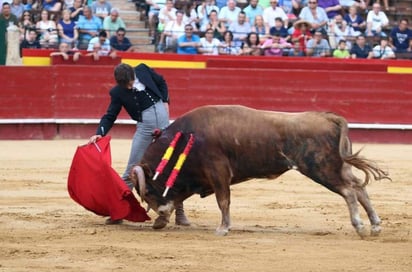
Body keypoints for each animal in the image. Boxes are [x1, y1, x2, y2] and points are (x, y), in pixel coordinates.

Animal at [131, 105, 390, 237]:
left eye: (147, 192)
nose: (157, 214)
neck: (187, 136)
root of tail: (328, 117)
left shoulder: (217, 172)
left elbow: (223, 201)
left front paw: (223, 228)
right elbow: (181, 197)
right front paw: (161, 221)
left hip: (321, 168)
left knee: (349, 192)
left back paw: (360, 227)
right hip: (339, 167)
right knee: (359, 188)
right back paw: (375, 226)